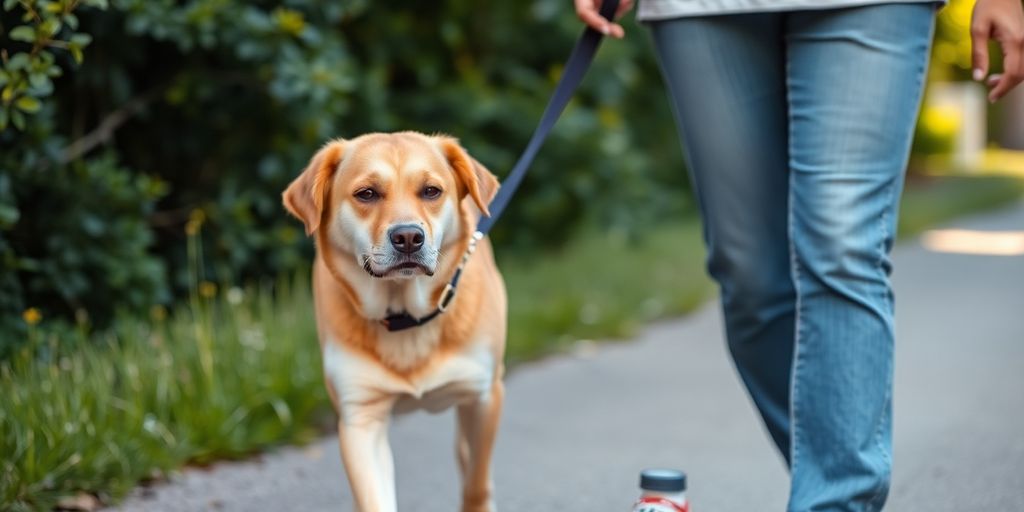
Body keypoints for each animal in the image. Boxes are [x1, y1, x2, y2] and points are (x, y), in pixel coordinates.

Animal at [282, 132, 505, 512]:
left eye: (431, 191)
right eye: (366, 194)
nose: (408, 238)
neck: (405, 318)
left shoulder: (483, 396)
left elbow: (476, 485)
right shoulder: (360, 417)